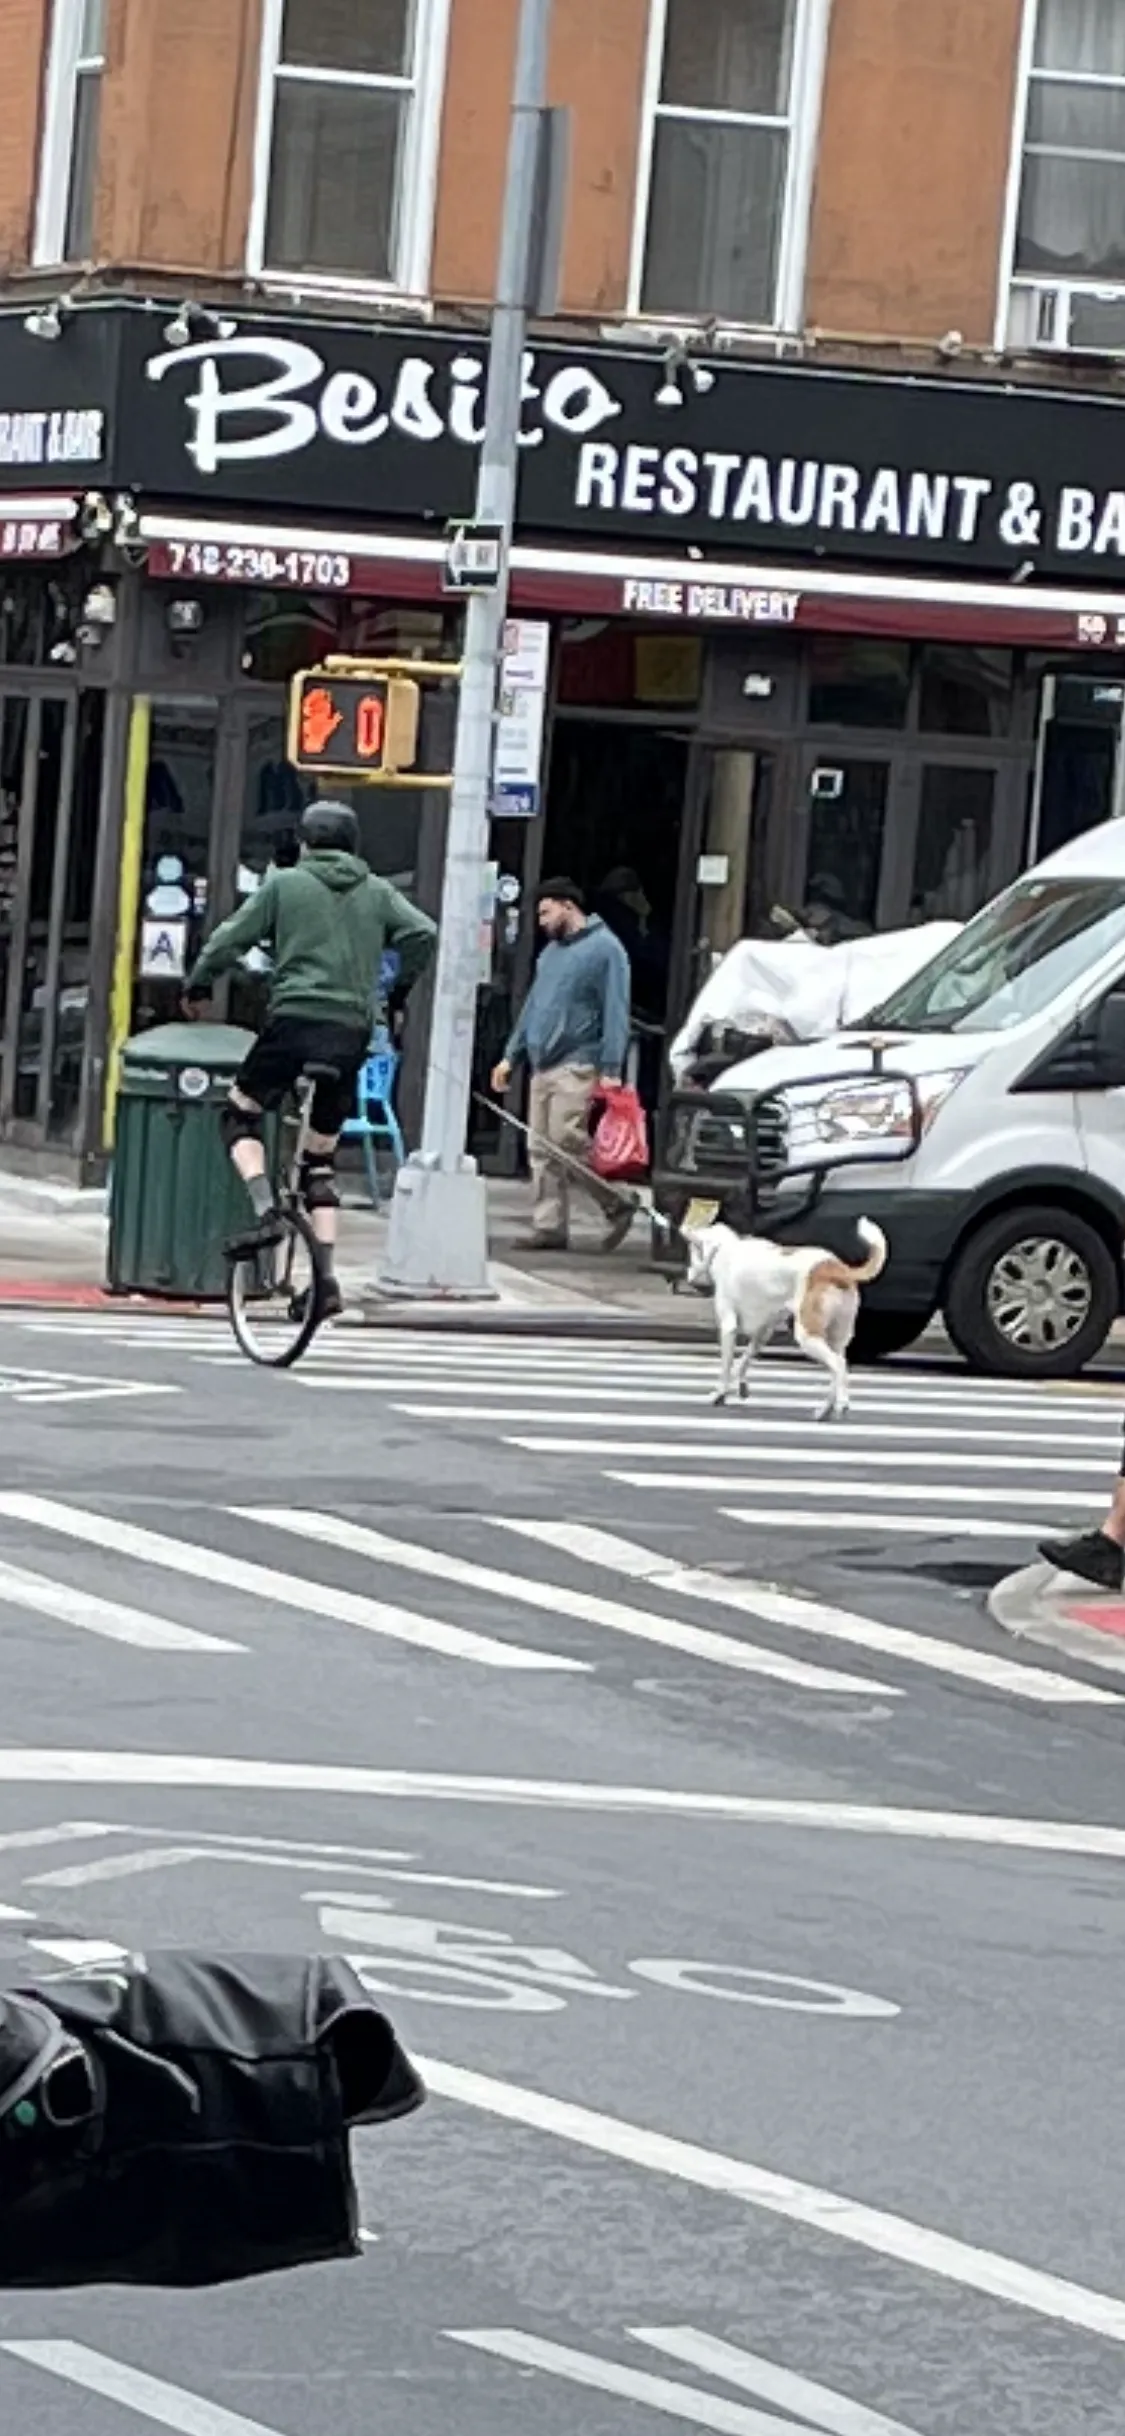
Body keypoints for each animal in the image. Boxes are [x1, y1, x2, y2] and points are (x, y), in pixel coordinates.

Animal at [686, 1218, 886, 1422]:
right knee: (837, 1370)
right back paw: (825, 1410)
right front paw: (741, 1387)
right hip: (836, 1339)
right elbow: (744, 1361)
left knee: (838, 1366)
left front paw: (720, 1394)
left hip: (807, 1335)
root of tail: (836, 1267)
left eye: (691, 1252)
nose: (688, 1276)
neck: (723, 1247)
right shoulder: (763, 1333)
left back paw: (841, 1404)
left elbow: (726, 1367)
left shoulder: (729, 1327)